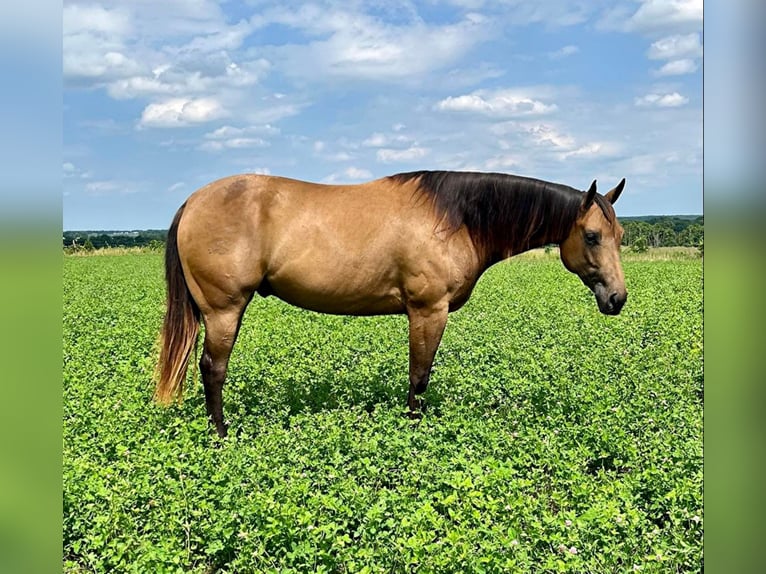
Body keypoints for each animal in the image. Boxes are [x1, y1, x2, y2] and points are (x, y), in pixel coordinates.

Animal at [153, 170, 628, 436]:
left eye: (621, 236)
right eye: (591, 236)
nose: (617, 298)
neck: (455, 218)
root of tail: (193, 201)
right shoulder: (427, 310)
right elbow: (419, 376)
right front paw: (414, 430)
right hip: (223, 310)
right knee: (213, 369)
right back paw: (221, 433)